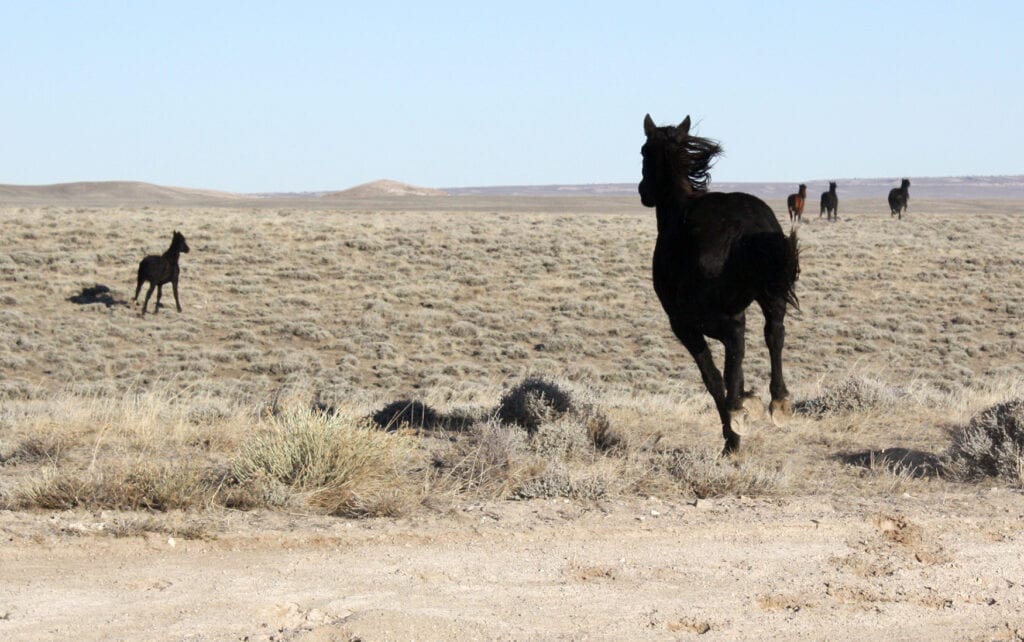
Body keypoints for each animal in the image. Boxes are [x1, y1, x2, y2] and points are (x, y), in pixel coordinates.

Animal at [638, 116, 798, 456]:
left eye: (644, 151)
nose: (643, 191)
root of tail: (749, 227)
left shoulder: (683, 323)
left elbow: (711, 375)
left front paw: (733, 431)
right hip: (772, 295)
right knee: (774, 333)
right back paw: (777, 400)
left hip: (721, 310)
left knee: (736, 341)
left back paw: (737, 412)